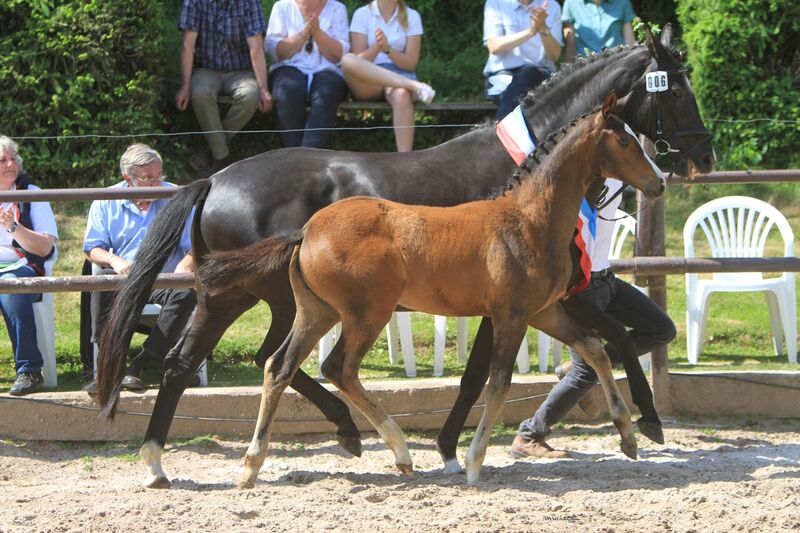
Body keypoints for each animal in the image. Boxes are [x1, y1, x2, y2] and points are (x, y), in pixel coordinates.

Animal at [203, 93, 664, 484]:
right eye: (626, 141)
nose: (659, 182)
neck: (529, 220)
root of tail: (305, 231)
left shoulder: (543, 311)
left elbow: (594, 350)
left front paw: (629, 436)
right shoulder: (511, 315)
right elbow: (497, 383)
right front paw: (473, 462)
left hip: (317, 312)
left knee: (279, 367)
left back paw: (252, 466)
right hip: (367, 314)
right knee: (339, 368)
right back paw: (399, 451)